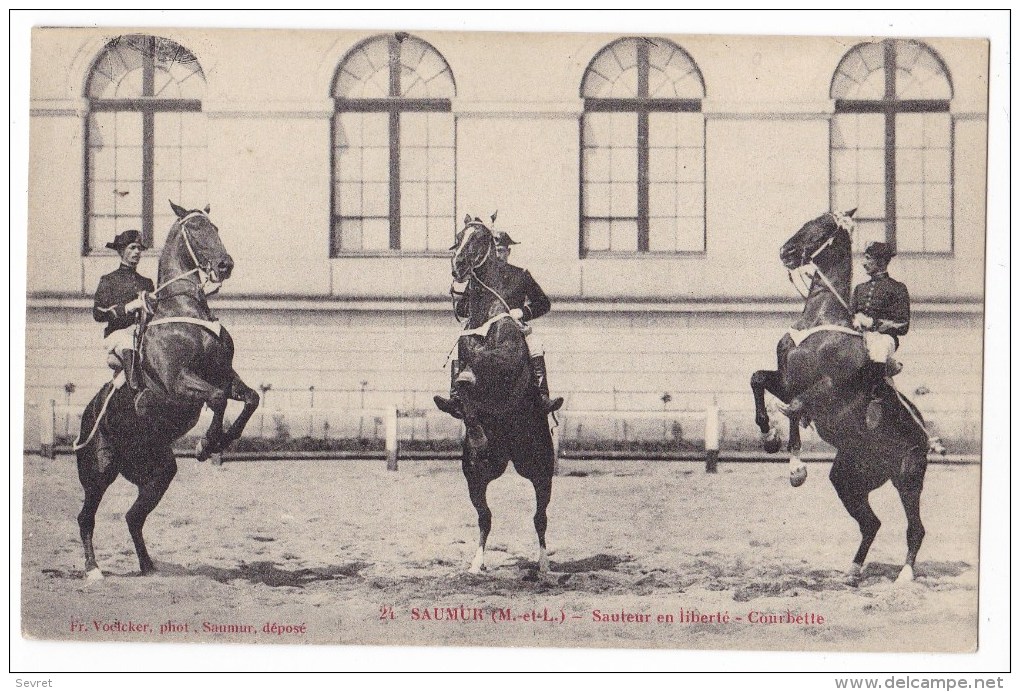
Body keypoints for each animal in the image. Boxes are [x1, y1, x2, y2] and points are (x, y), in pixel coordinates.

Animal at [74, 201, 261, 579]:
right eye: (195, 230)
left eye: (215, 227)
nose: (225, 265)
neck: (186, 312)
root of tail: (87, 418)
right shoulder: (177, 383)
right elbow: (217, 398)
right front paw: (207, 444)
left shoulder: (224, 375)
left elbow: (250, 398)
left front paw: (223, 439)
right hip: (98, 473)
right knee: (86, 518)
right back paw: (93, 569)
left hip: (159, 473)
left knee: (133, 517)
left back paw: (148, 567)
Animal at [450, 216, 554, 575]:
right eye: (459, 236)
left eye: (480, 238)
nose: (457, 267)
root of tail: (509, 455)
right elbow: (465, 376)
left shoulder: (507, 356)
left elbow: (488, 360)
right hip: (477, 476)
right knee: (485, 517)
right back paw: (476, 564)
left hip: (540, 470)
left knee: (539, 518)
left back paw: (543, 567)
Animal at [750, 210, 934, 583]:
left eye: (823, 226)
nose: (786, 251)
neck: (818, 322)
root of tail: (925, 436)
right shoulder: (786, 379)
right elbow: (760, 381)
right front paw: (769, 436)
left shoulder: (828, 389)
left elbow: (795, 407)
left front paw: (796, 467)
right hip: (849, 479)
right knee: (871, 523)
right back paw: (853, 570)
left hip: (908, 479)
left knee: (915, 528)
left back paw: (905, 575)